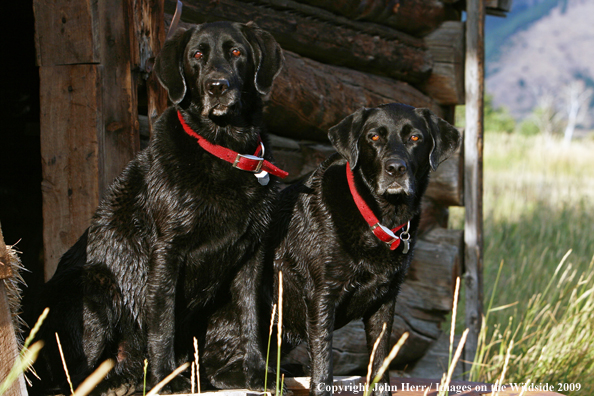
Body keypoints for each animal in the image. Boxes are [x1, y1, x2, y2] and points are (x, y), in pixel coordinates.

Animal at [27, 22, 284, 396]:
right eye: (197, 55)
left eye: (237, 52)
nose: (217, 86)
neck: (224, 149)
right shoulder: (167, 251)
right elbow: (162, 322)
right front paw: (166, 378)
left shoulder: (252, 254)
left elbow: (250, 319)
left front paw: (257, 374)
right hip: (97, 282)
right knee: (72, 378)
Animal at [264, 103, 458, 396]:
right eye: (374, 137)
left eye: (415, 138)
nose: (395, 168)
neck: (377, 217)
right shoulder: (322, 296)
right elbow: (323, 365)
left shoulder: (385, 301)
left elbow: (380, 365)